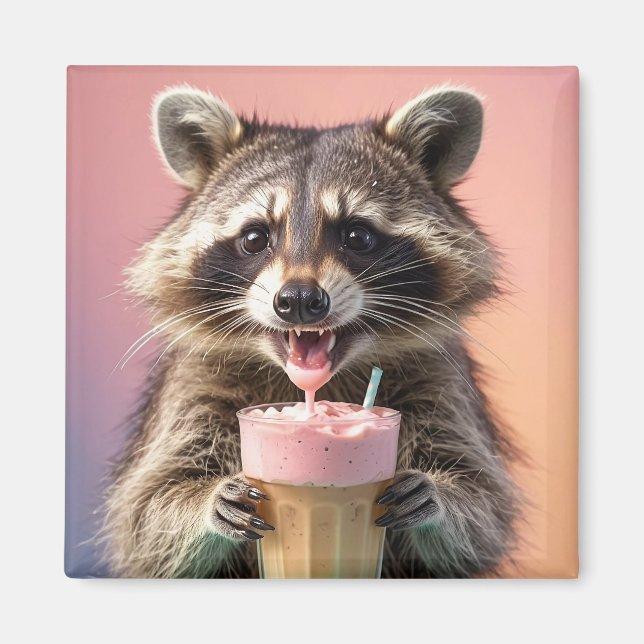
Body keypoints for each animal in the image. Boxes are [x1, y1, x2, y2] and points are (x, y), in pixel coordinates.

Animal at [102, 85, 521, 578]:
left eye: (358, 236)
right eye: (255, 238)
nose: (299, 300)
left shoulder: (443, 383)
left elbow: (484, 510)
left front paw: (441, 497)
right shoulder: (191, 387)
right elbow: (147, 512)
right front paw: (205, 501)